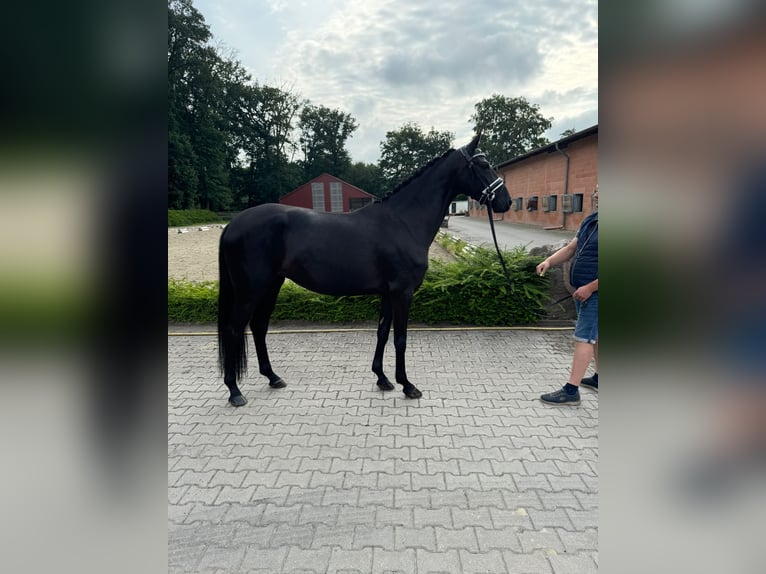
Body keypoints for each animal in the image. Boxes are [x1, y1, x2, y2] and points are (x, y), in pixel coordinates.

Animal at [219, 135, 512, 408]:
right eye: (484, 165)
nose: (506, 202)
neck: (404, 222)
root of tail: (232, 224)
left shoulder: (388, 293)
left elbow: (382, 332)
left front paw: (382, 379)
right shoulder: (403, 293)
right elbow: (401, 338)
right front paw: (407, 385)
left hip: (271, 286)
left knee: (258, 327)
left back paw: (273, 377)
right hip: (250, 291)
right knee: (234, 330)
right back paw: (235, 391)